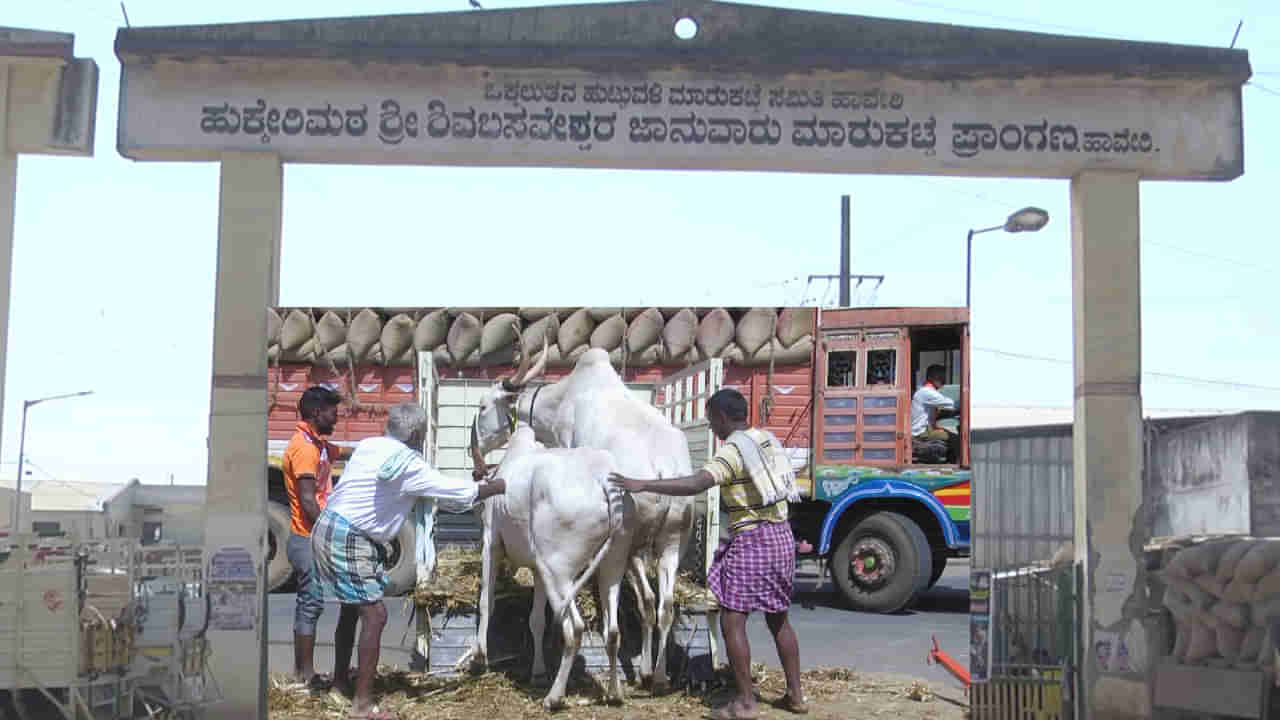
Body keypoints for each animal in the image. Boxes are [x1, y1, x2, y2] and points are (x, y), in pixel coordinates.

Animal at [473, 420, 632, 707]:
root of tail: (603, 479)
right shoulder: (537, 570)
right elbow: (536, 620)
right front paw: (537, 673)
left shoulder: (491, 541)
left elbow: (486, 602)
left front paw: (479, 657)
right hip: (611, 565)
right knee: (613, 631)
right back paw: (614, 694)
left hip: (558, 571)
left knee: (575, 629)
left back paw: (554, 697)